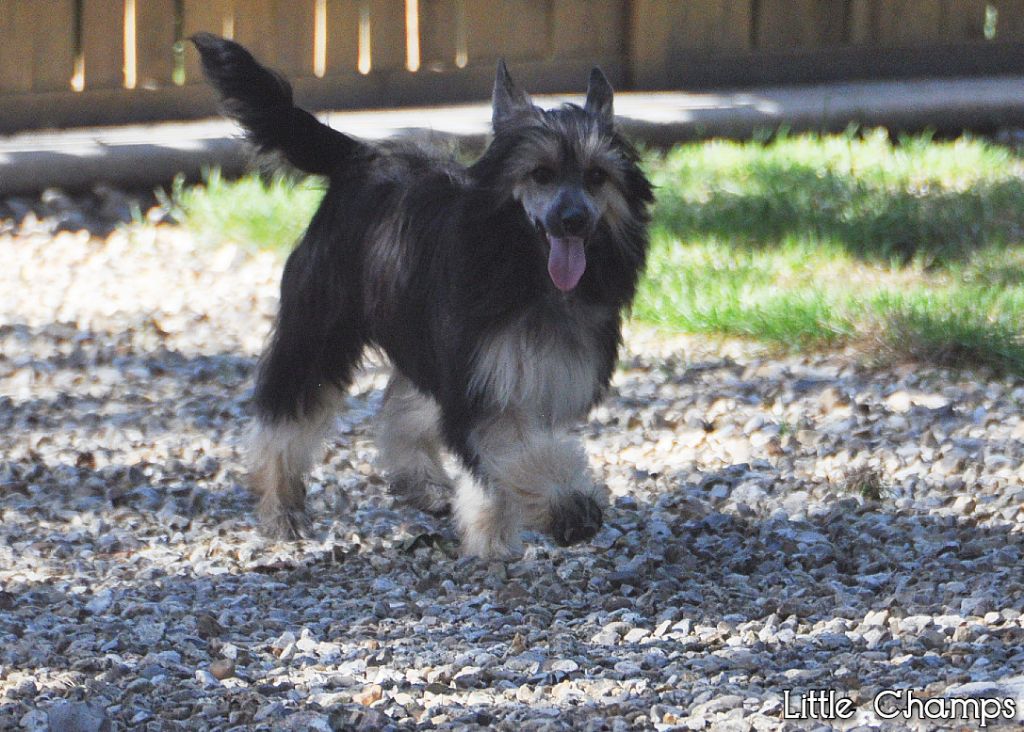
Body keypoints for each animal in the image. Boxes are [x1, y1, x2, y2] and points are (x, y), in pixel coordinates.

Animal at [192, 34, 653, 559]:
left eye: (597, 176)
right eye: (541, 174)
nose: (573, 220)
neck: (526, 273)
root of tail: (362, 158)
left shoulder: (515, 374)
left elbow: (502, 463)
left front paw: (489, 530)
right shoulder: (481, 386)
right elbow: (517, 451)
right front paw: (566, 505)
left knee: (403, 404)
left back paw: (421, 483)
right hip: (319, 326)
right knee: (284, 413)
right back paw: (279, 504)